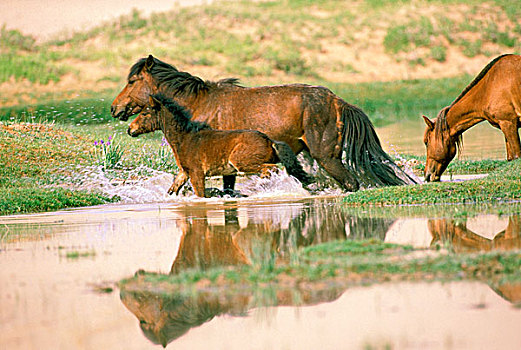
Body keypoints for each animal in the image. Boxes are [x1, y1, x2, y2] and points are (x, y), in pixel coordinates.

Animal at [129, 93, 312, 197]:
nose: (130, 129)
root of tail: (269, 140)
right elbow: (172, 189)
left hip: (242, 162)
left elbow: (201, 196)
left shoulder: (197, 173)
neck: (185, 138)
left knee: (271, 169)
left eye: (144, 113)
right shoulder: (184, 173)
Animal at [422, 54, 520, 182]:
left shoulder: (509, 124)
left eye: (426, 142)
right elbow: (511, 158)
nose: (427, 176)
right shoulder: (505, 126)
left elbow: (517, 155)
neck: (489, 87)